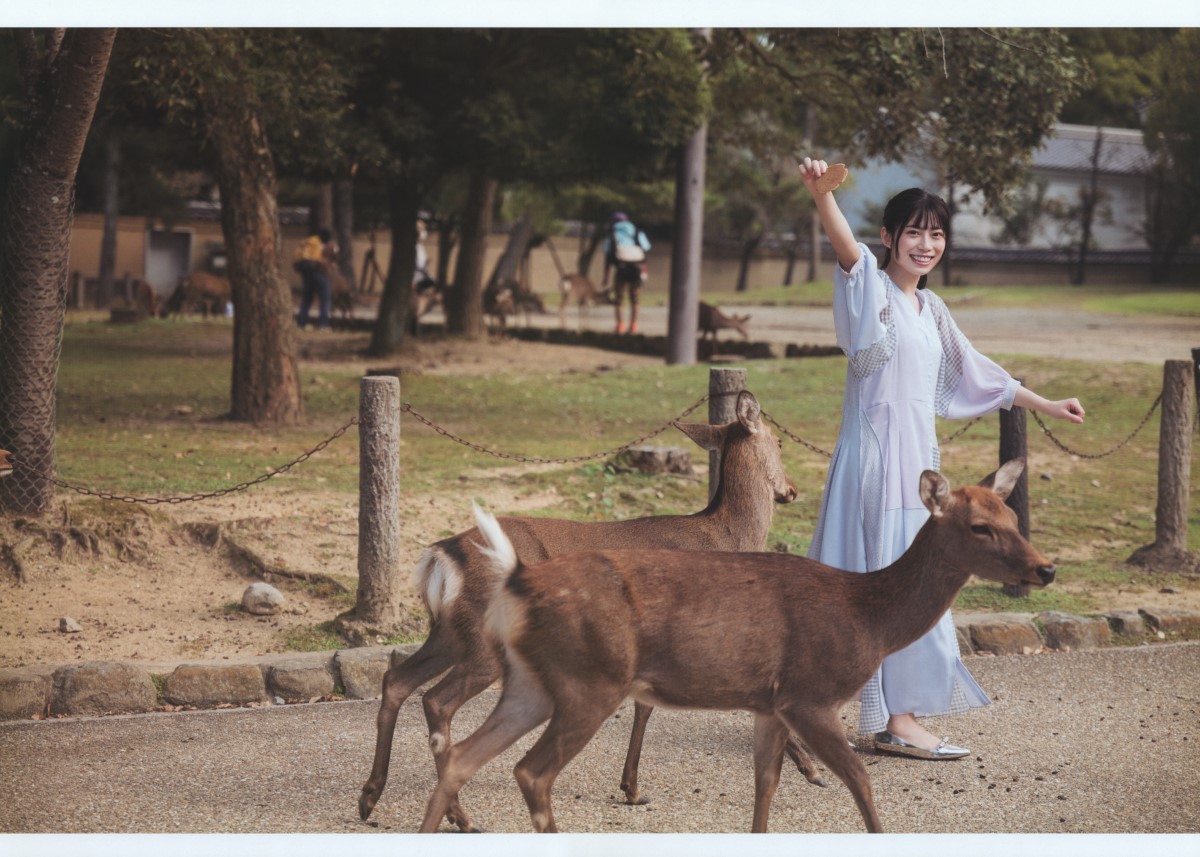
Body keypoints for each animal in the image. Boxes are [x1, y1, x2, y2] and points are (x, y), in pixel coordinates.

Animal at [360, 388, 835, 825]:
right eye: (779, 442)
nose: (791, 491)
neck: (726, 537)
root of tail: (441, 556)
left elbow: (644, 706)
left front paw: (632, 788)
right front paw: (813, 770)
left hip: (447, 631)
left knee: (397, 680)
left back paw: (370, 797)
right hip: (482, 637)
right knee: (437, 700)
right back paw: (460, 817)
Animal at [417, 458, 1056, 830]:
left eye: (1012, 514)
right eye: (979, 526)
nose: (1046, 568)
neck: (868, 617)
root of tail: (517, 580)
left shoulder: (768, 704)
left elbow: (764, 788)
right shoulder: (809, 693)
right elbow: (861, 779)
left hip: (530, 682)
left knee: (463, 755)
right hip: (589, 680)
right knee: (530, 771)